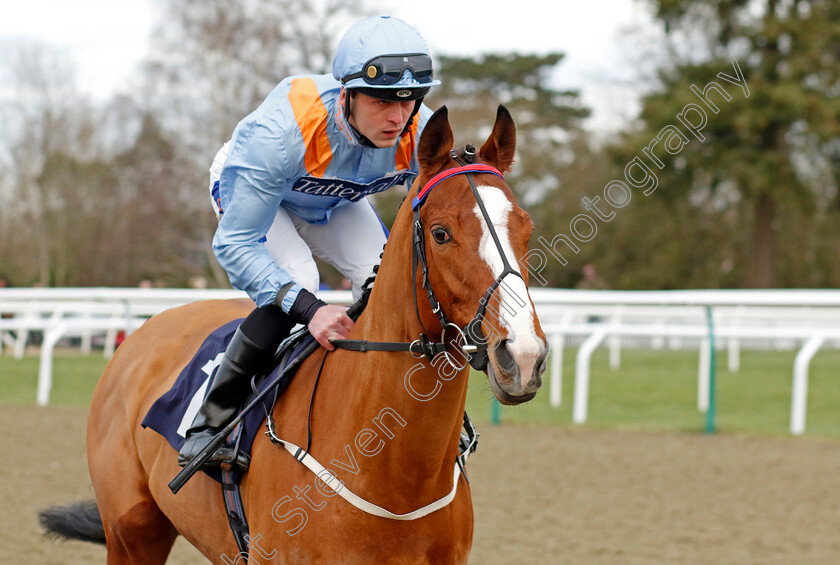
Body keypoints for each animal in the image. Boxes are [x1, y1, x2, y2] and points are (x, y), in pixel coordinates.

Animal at [46, 104, 548, 560]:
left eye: (526, 228)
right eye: (441, 234)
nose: (522, 357)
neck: (395, 477)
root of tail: (141, 335)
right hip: (131, 533)